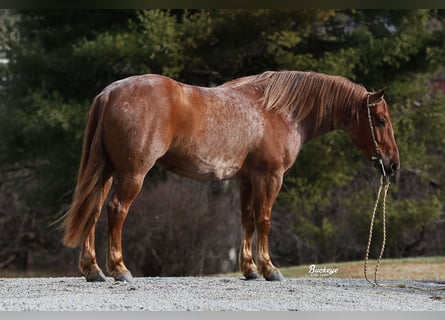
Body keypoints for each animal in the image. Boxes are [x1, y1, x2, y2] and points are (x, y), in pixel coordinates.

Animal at [61, 70, 398, 282]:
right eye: (380, 120)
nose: (392, 164)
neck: (276, 111)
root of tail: (110, 93)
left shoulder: (247, 180)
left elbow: (247, 220)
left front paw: (250, 269)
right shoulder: (270, 178)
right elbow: (264, 220)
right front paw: (269, 269)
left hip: (107, 172)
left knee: (92, 211)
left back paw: (94, 271)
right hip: (132, 174)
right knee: (116, 211)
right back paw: (119, 269)